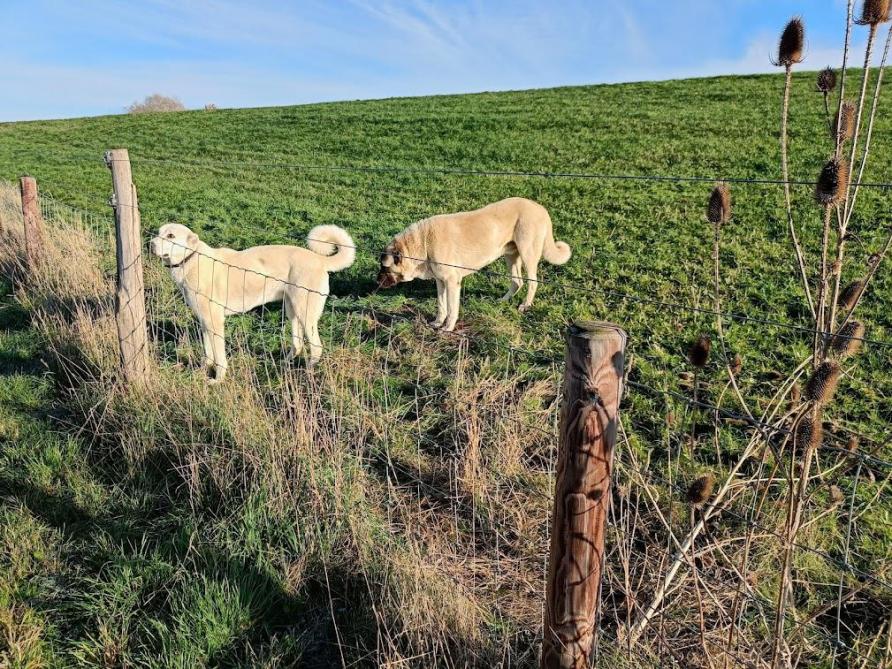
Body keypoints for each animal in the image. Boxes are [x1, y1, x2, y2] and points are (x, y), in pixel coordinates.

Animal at [148, 224, 354, 380]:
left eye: (171, 235)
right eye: (158, 233)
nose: (150, 244)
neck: (190, 259)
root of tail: (319, 259)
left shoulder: (215, 323)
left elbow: (219, 358)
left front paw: (218, 380)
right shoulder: (204, 321)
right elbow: (208, 353)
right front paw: (201, 371)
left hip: (306, 312)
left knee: (317, 347)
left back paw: (308, 372)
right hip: (292, 310)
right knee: (297, 344)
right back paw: (283, 364)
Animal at [376, 196, 572, 332]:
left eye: (384, 267)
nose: (376, 281)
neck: (423, 243)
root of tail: (540, 207)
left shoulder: (452, 282)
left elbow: (452, 308)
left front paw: (448, 328)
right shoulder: (441, 282)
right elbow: (441, 305)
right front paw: (438, 322)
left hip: (527, 254)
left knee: (532, 282)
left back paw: (525, 305)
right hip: (510, 256)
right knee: (517, 281)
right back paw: (502, 301)